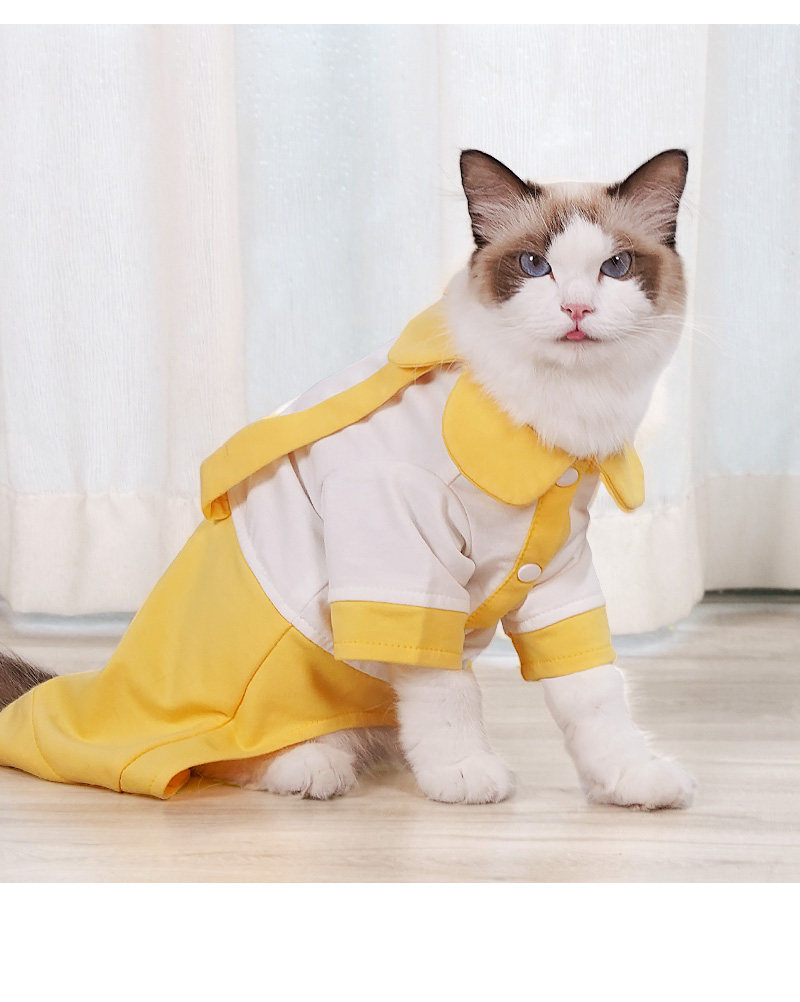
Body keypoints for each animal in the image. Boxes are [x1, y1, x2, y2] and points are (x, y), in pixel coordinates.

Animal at [0, 148, 695, 809]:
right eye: (533, 266)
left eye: (615, 268)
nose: (577, 308)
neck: (555, 422)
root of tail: (98, 689)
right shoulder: (405, 564)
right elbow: (449, 693)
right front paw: (463, 774)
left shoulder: (558, 570)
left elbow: (594, 695)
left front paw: (629, 779)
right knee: (222, 756)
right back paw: (313, 766)